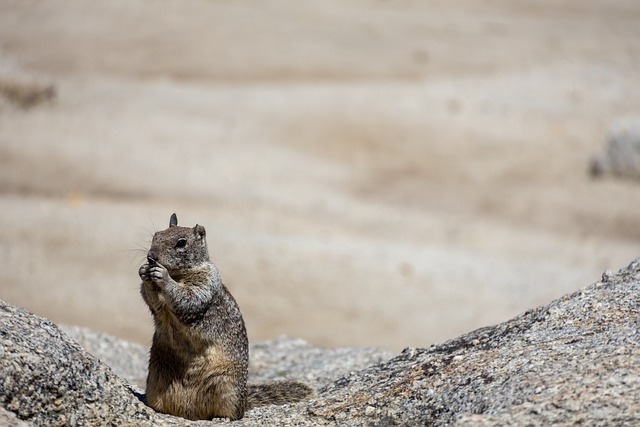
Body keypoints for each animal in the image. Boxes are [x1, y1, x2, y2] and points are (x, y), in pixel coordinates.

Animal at [139, 213, 314, 420]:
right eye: (156, 235)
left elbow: (188, 298)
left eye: (181, 243)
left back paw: (222, 417)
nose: (151, 257)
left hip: (226, 386)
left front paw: (162, 275)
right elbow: (154, 302)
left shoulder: (206, 283)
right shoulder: (160, 305)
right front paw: (144, 272)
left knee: (234, 413)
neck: (179, 275)